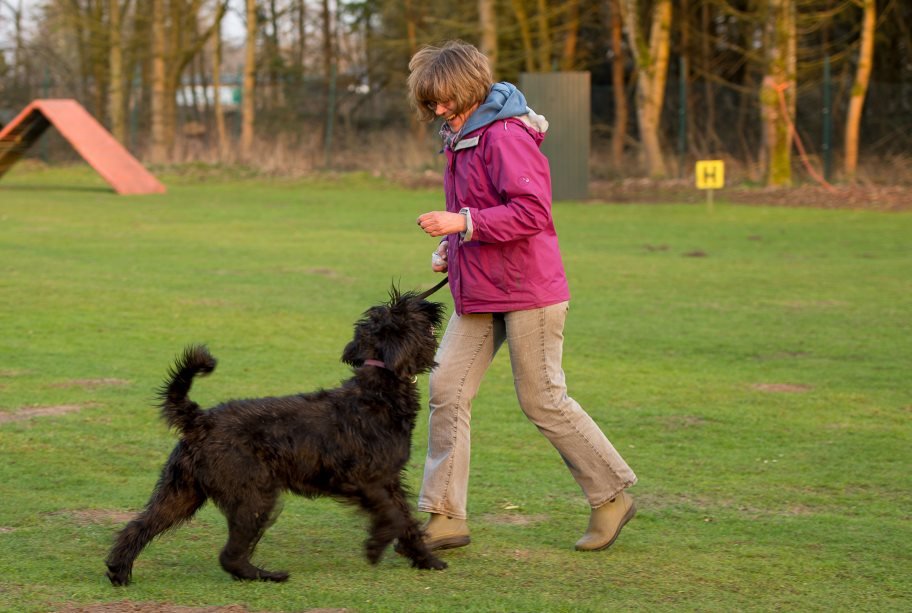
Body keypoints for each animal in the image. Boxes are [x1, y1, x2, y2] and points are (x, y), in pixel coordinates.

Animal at [105, 286, 448, 584]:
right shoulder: (365, 479)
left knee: (140, 526)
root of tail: (199, 420)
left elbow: (405, 519)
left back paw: (119, 571)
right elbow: (393, 516)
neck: (378, 391)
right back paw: (265, 575)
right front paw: (376, 547)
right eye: (400, 310)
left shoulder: (389, 480)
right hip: (254, 495)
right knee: (230, 554)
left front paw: (426, 559)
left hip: (181, 492)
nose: (430, 304)